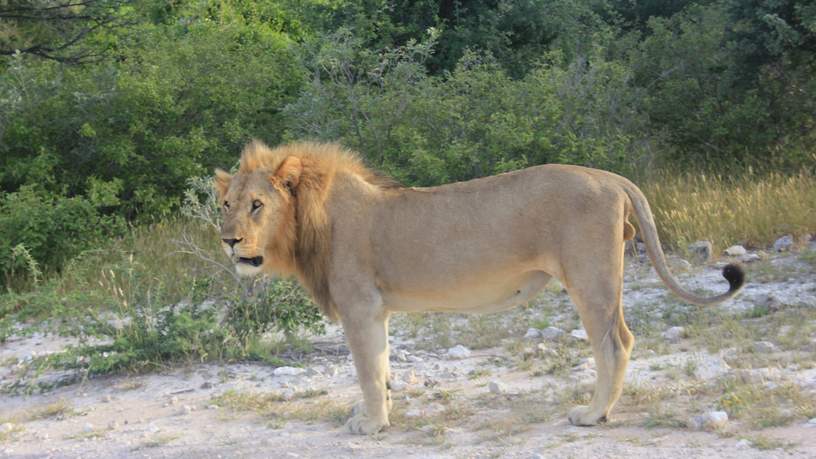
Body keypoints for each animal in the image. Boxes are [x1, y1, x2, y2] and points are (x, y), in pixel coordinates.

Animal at [214, 140, 744, 434]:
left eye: (258, 205)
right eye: (226, 204)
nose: (229, 241)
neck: (309, 221)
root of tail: (609, 176)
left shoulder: (359, 305)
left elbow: (366, 371)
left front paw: (370, 425)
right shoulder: (377, 311)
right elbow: (381, 369)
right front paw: (382, 414)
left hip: (589, 277)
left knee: (615, 343)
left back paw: (593, 415)